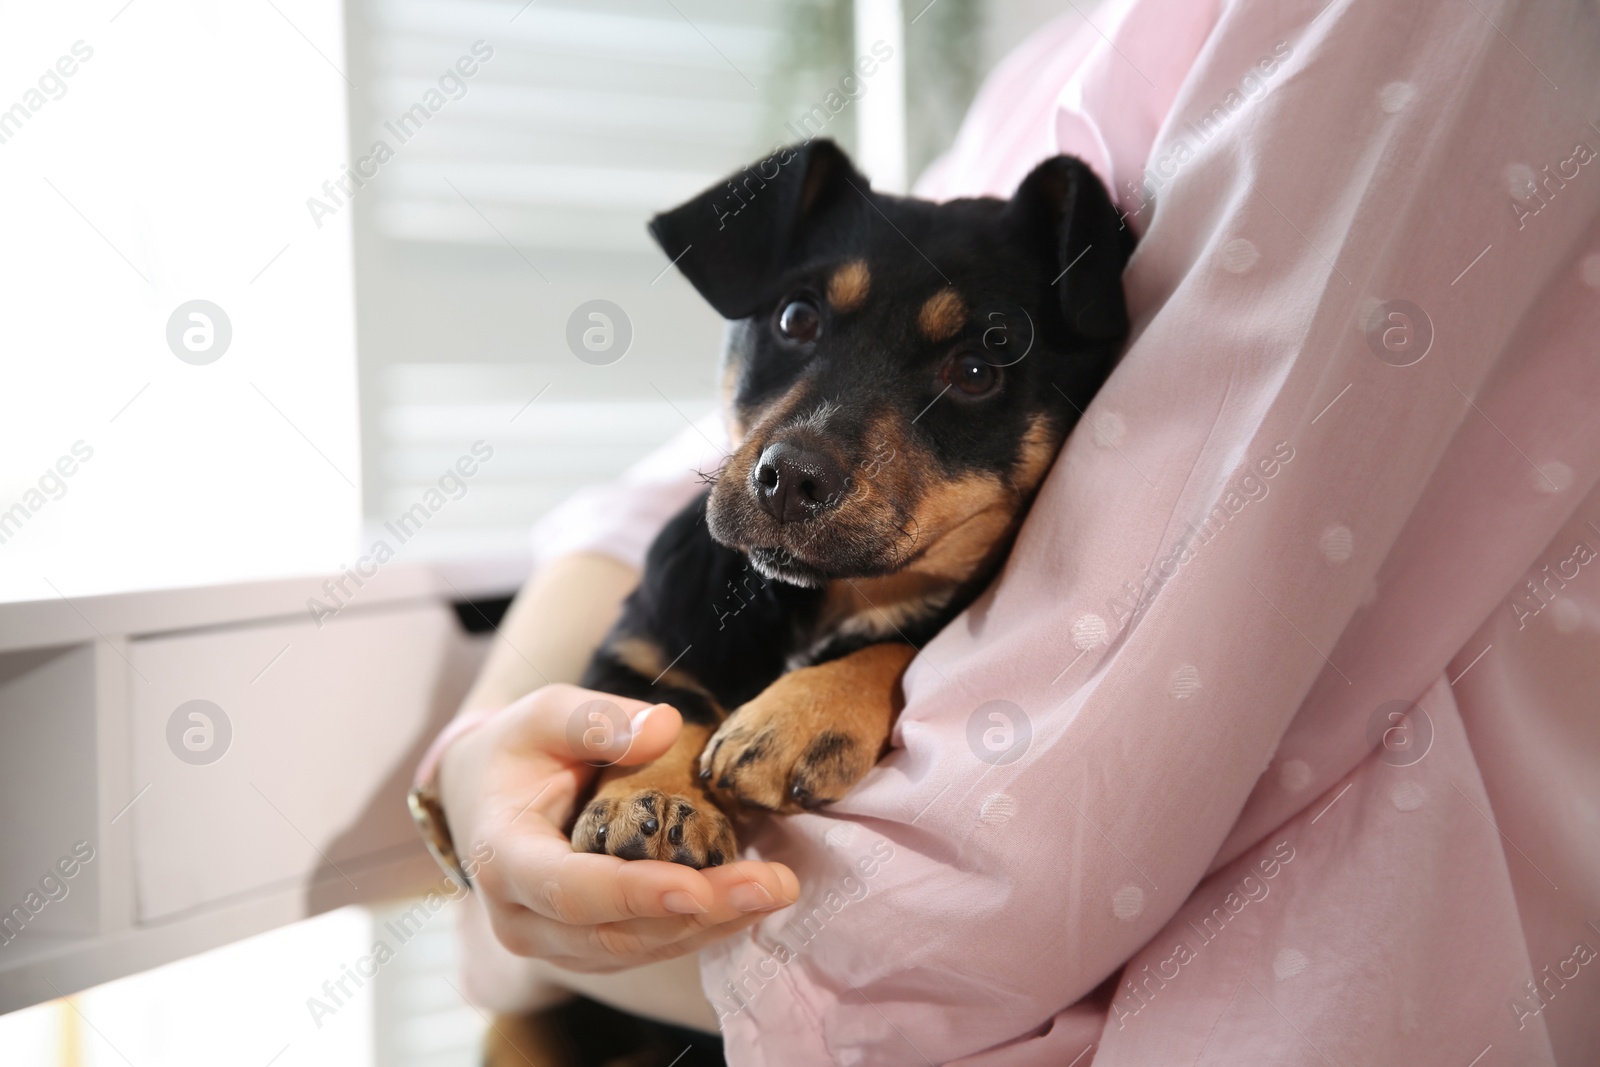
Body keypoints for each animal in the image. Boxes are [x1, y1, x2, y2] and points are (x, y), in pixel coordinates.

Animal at [569, 137, 1132, 870]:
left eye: (976, 371)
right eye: (796, 317)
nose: (790, 479)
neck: (810, 603)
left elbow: (902, 643)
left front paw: (799, 717)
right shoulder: (631, 648)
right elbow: (656, 709)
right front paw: (655, 800)